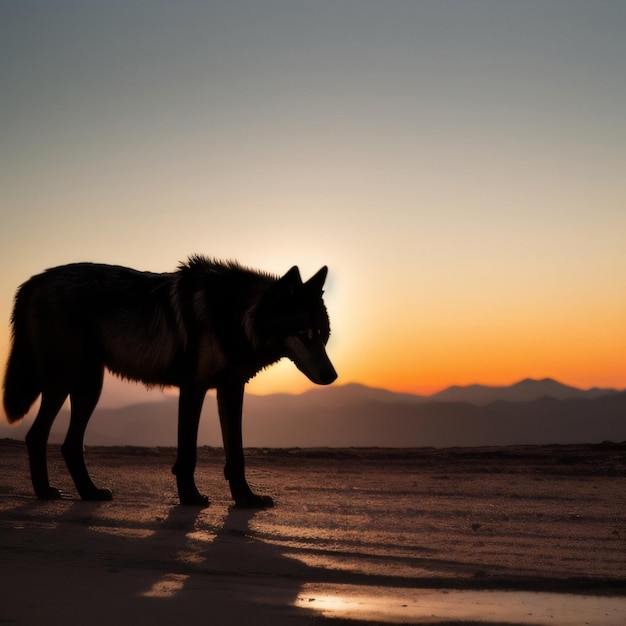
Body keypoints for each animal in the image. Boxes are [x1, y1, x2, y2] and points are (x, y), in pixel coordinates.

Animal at [3, 256, 336, 504]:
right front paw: (190, 498)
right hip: (68, 382)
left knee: (68, 444)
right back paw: (46, 492)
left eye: (323, 336)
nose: (332, 376)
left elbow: (237, 453)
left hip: (88, 387)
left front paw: (246, 499)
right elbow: (187, 453)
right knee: (38, 435)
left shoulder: (231, 389)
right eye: (305, 334)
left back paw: (89, 493)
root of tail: (34, 280)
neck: (235, 317)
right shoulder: (193, 389)